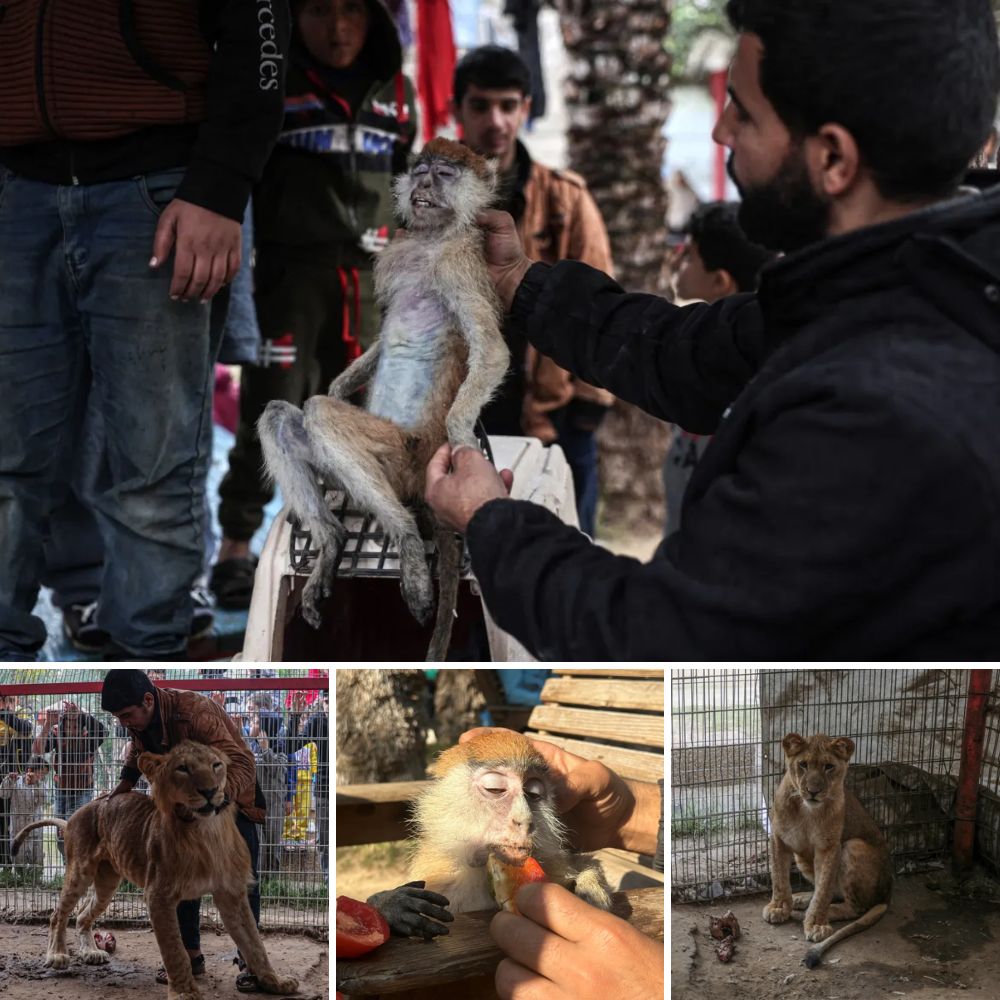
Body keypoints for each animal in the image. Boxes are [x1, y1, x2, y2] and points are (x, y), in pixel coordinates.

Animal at [258, 137, 508, 660]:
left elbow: (492, 349)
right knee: (281, 418)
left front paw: (461, 439)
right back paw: (332, 540)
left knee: (319, 416)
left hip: (402, 459)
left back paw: (407, 538)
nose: (424, 185)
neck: (432, 240)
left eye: (446, 173)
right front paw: (339, 385)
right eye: (422, 170)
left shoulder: (460, 261)